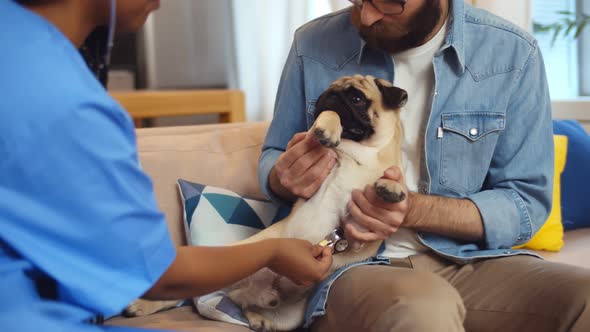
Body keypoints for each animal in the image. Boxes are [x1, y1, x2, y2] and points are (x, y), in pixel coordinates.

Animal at [126, 75, 408, 332]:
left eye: (356, 98)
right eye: (328, 90)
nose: (329, 95)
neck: (360, 154)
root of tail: (255, 288)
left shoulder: (358, 226)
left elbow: (396, 183)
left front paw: (392, 188)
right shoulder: (307, 143)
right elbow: (328, 117)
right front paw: (329, 126)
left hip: (287, 315)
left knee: (243, 304)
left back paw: (259, 319)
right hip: (232, 260)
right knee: (188, 293)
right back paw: (141, 305)